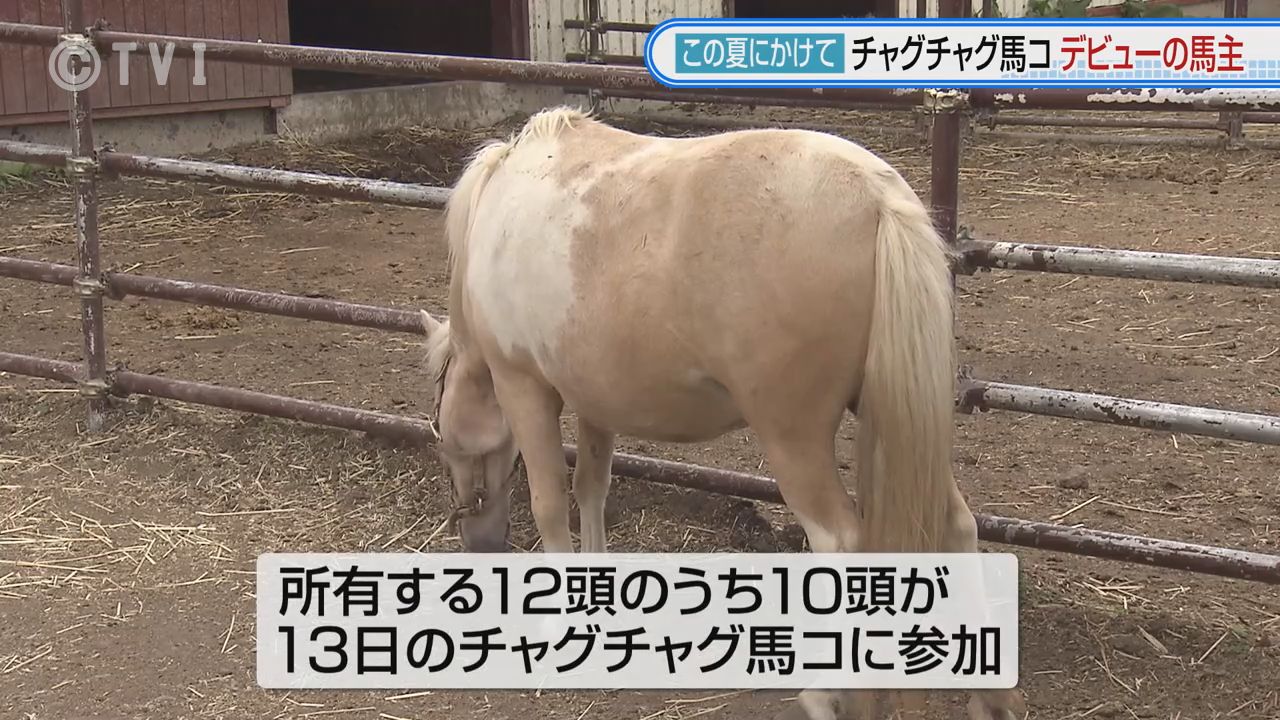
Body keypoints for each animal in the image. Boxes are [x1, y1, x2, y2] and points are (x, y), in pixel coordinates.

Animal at [419, 106, 1025, 720]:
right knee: (956, 526)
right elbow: (592, 489)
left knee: (840, 543)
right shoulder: (597, 399)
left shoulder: (524, 388)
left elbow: (549, 505)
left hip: (793, 437)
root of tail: (878, 200)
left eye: (443, 442)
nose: (477, 546)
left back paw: (825, 695)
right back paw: (988, 700)